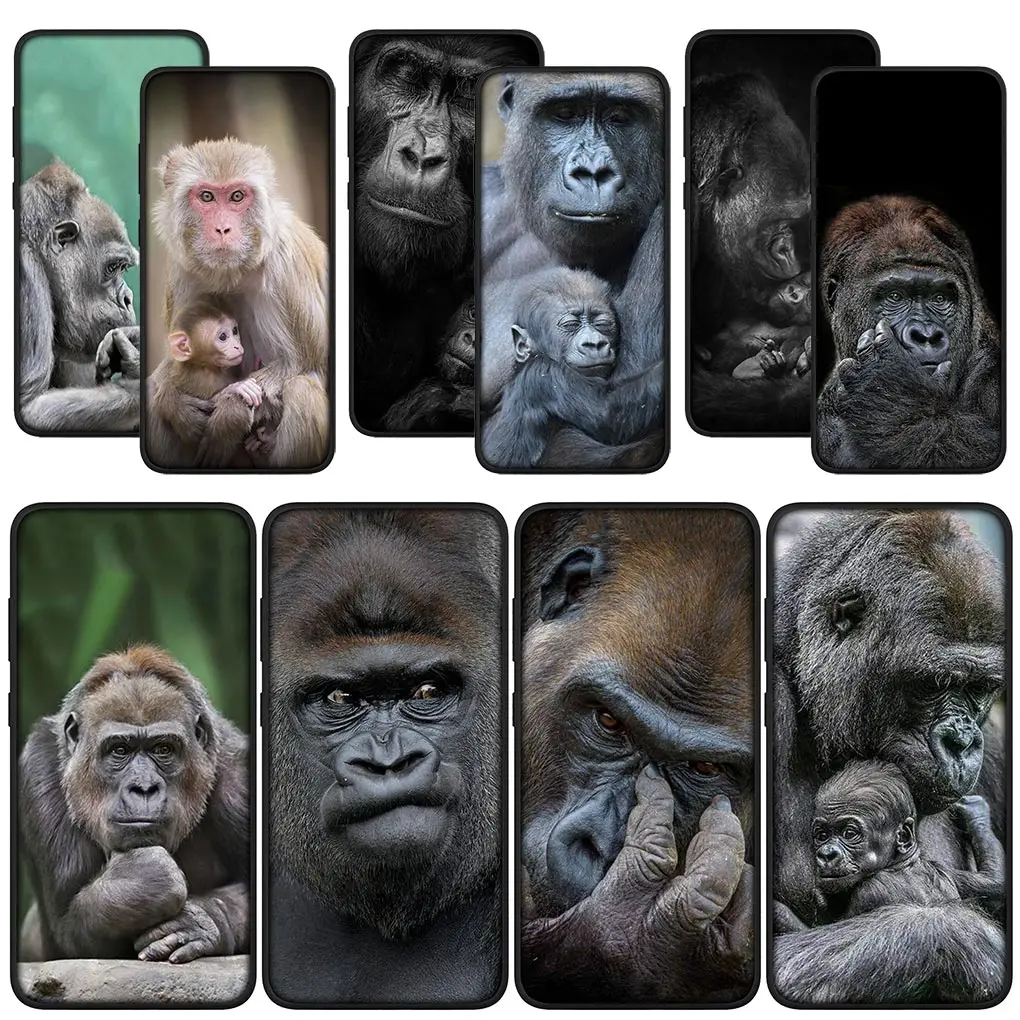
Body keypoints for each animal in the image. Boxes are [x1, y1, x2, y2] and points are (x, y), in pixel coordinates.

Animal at [152, 137, 330, 469]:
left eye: (237, 196)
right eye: (206, 196)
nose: (223, 229)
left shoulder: (289, 266)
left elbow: (314, 369)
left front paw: (230, 411)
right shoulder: (183, 272)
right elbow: (171, 369)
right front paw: (173, 403)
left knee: (303, 390)